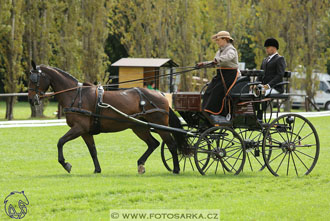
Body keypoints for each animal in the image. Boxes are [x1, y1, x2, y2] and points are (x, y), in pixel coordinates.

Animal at [28, 63, 183, 174]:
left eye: (34, 79)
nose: (31, 99)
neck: (76, 95)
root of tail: (160, 94)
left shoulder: (79, 128)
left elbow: (60, 142)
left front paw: (66, 164)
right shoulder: (85, 132)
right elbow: (93, 150)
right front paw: (97, 169)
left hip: (160, 127)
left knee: (171, 145)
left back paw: (176, 169)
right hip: (139, 127)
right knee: (153, 144)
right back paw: (141, 164)